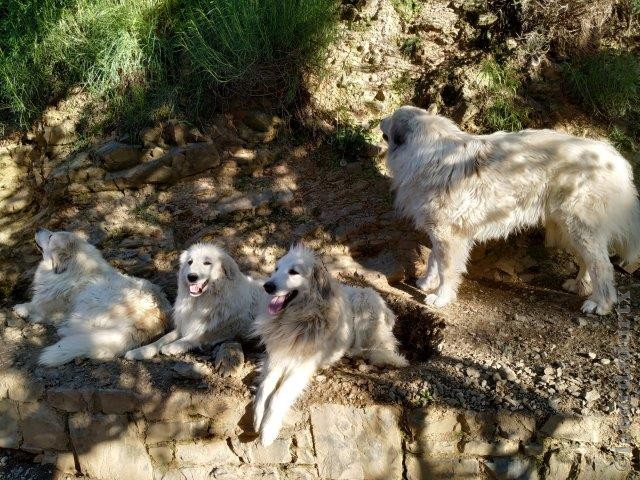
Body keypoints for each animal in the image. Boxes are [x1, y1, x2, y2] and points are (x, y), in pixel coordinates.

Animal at [14, 229, 171, 368]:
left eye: (51, 236)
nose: (37, 228)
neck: (73, 269)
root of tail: (149, 321)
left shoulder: (51, 306)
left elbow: (36, 307)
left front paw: (21, 308)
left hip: (89, 301)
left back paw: (64, 331)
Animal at [125, 244, 268, 376]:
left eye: (207, 263)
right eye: (190, 262)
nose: (191, 277)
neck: (201, 301)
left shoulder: (227, 328)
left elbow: (196, 336)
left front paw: (173, 346)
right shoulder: (184, 325)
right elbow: (162, 338)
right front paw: (141, 351)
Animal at [252, 246, 408, 448]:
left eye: (293, 272)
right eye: (276, 269)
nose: (267, 286)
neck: (295, 320)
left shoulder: (302, 367)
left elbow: (279, 395)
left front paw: (268, 430)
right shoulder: (276, 356)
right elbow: (265, 386)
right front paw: (257, 417)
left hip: (364, 300)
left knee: (369, 348)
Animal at [380, 105, 640, 316]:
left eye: (391, 118)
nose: (380, 120)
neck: (428, 155)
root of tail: (613, 158)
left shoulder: (448, 234)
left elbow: (446, 268)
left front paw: (441, 297)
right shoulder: (440, 230)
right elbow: (434, 260)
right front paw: (426, 282)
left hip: (579, 226)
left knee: (601, 265)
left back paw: (600, 303)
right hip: (568, 227)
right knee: (589, 261)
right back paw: (580, 286)